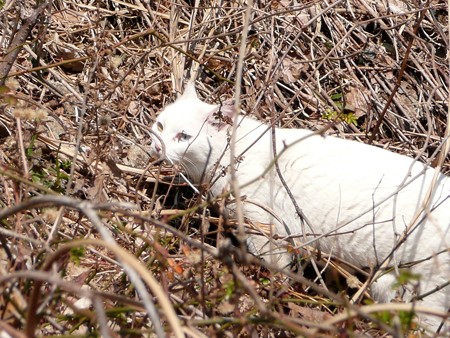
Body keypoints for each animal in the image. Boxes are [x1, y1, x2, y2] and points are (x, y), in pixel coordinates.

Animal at [149, 82, 448, 332]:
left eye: (184, 136)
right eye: (160, 125)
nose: (157, 146)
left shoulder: (266, 228)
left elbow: (275, 271)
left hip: (421, 290)